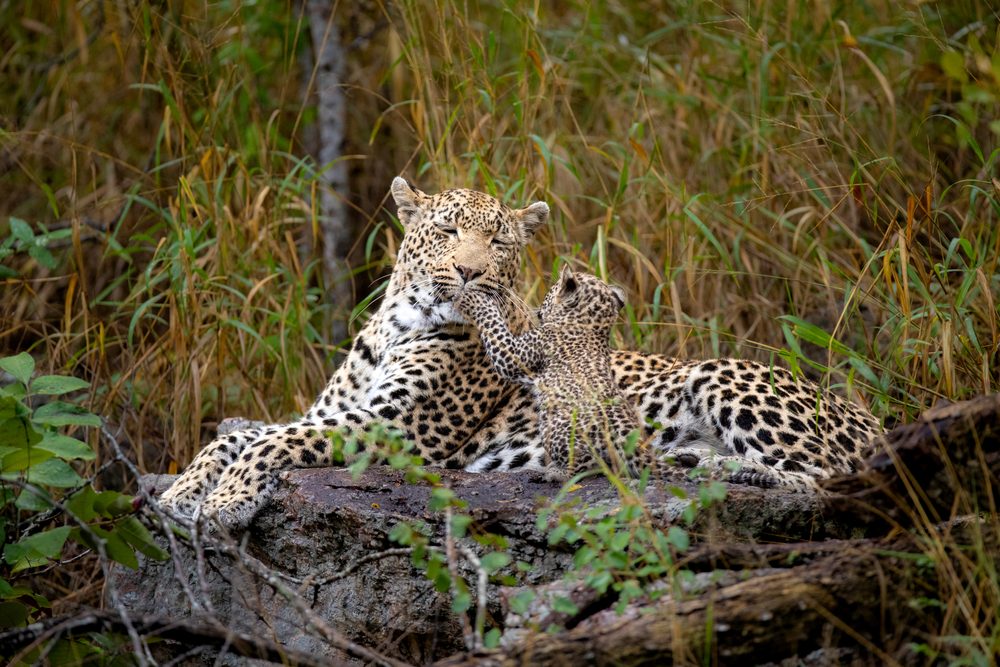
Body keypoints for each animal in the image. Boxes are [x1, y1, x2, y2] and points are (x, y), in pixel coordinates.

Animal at [455, 265, 643, 480]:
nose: (538, 309)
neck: (591, 324)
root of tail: (624, 434)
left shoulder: (514, 353)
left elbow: (494, 326)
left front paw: (474, 299)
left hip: (557, 432)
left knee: (592, 463)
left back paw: (555, 472)